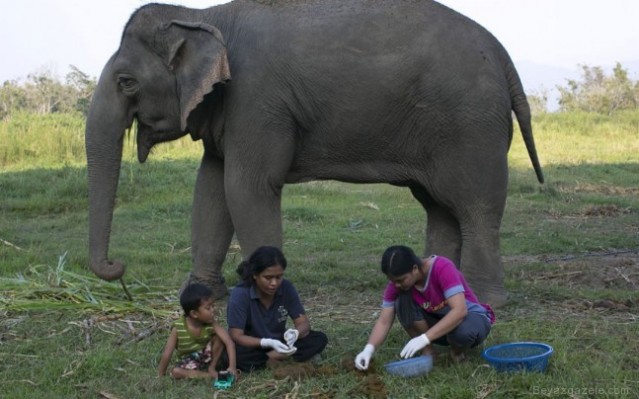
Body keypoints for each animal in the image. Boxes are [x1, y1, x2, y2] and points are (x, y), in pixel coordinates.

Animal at [86, 0, 544, 310]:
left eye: (126, 82)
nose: (117, 267)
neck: (206, 16)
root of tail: (502, 54)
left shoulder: (257, 99)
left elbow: (247, 188)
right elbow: (211, 190)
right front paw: (200, 295)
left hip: (471, 125)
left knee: (475, 206)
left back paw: (486, 299)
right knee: (440, 206)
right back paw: (433, 283)